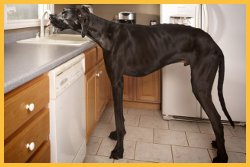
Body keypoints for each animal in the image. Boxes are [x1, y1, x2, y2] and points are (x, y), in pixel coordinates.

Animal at [50, 6, 234, 163]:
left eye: (65, 13)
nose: (50, 16)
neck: (106, 33)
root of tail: (214, 44)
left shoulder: (117, 82)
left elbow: (118, 117)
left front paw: (118, 150)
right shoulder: (117, 82)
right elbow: (120, 116)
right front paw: (120, 135)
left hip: (200, 86)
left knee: (217, 119)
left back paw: (222, 156)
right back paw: (217, 144)